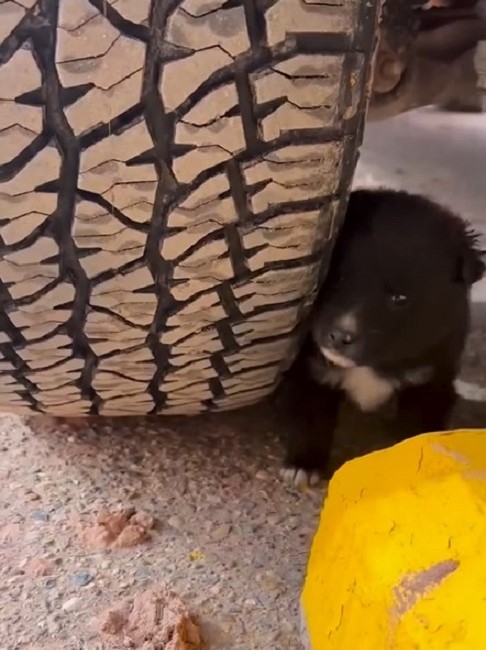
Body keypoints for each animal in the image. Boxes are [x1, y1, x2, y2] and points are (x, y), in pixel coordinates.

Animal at [280, 187, 484, 486]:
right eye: (336, 278)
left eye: (400, 298)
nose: (339, 336)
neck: (372, 365)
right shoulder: (309, 370)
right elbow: (309, 418)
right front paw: (302, 465)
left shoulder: (431, 378)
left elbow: (418, 430)